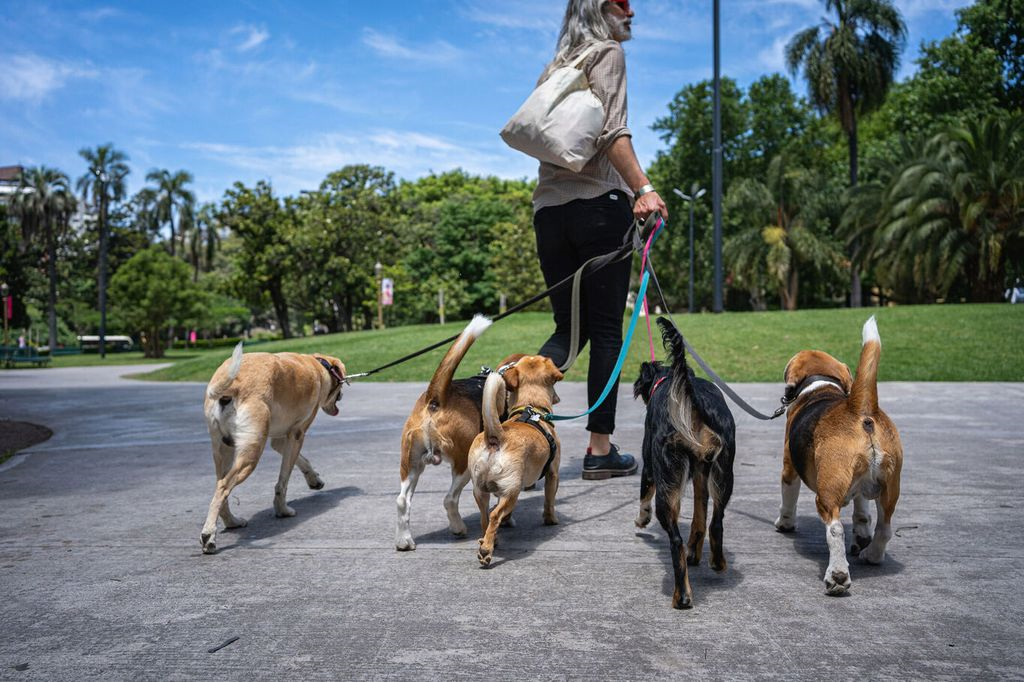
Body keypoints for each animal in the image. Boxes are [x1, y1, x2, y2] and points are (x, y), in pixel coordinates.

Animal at [199, 342, 348, 557]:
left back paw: (232, 522)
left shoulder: (279, 440)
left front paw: (314, 479)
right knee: (223, 487)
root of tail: (231, 387)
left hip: (222, 449)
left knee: (220, 485)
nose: (341, 396)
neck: (318, 366)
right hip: (250, 453)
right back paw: (209, 536)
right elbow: (283, 480)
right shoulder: (297, 434)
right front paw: (282, 510)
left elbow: (302, 460)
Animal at [393, 313, 493, 548]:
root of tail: (436, 399)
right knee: (449, 499)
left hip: (411, 464)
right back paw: (458, 528)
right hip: (463, 465)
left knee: (402, 500)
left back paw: (404, 541)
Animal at [468, 352, 565, 565]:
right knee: (494, 516)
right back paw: (487, 550)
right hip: (512, 491)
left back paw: (489, 540)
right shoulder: (553, 473)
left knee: (485, 517)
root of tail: (495, 437)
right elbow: (549, 500)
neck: (531, 408)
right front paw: (550, 519)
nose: (558, 398)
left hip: (479, 490)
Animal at [630, 319, 737, 610]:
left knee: (675, 540)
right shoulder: (702, 471)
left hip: (667, 474)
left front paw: (642, 519)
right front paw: (696, 552)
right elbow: (699, 519)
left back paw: (682, 596)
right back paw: (716, 562)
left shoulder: (649, 466)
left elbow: (643, 495)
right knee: (715, 522)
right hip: (723, 471)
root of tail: (691, 399)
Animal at [774, 315, 905, 593]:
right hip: (890, 487)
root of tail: (861, 410)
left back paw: (837, 576)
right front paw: (862, 534)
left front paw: (785, 523)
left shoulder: (789, 467)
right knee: (885, 527)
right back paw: (872, 555)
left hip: (827, 493)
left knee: (834, 530)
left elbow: (788, 497)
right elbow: (862, 512)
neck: (820, 385)